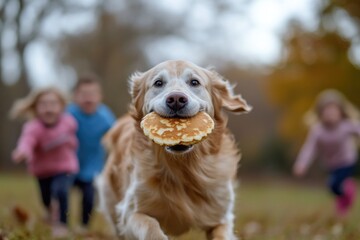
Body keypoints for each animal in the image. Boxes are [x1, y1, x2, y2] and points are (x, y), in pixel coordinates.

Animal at [97, 60, 252, 240]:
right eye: (158, 83)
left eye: (194, 82)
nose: (176, 99)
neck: (183, 167)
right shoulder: (130, 213)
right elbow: (151, 226)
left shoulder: (222, 217)